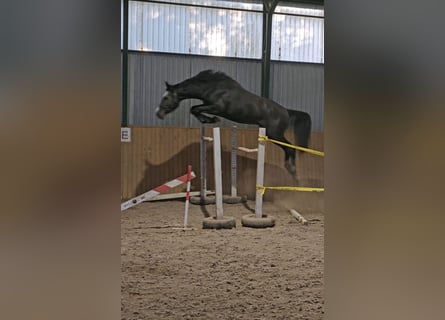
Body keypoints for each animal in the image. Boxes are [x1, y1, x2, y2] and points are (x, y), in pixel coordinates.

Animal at [154, 70, 310, 179]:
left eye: (166, 98)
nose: (158, 114)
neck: (212, 87)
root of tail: (286, 111)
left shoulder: (216, 107)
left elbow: (195, 109)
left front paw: (211, 120)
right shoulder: (208, 105)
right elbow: (194, 109)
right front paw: (208, 120)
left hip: (274, 134)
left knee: (290, 148)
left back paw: (293, 172)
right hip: (270, 134)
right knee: (288, 148)